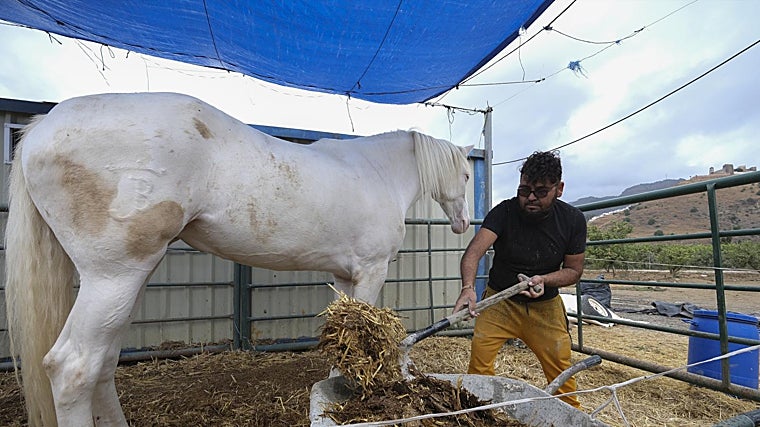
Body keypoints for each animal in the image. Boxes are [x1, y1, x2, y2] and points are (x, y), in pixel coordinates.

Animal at [4, 92, 472, 426]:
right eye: (467, 174)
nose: (464, 223)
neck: (376, 174)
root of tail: (44, 127)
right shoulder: (372, 271)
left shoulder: (344, 277)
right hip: (113, 278)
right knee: (72, 368)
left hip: (125, 284)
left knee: (102, 364)